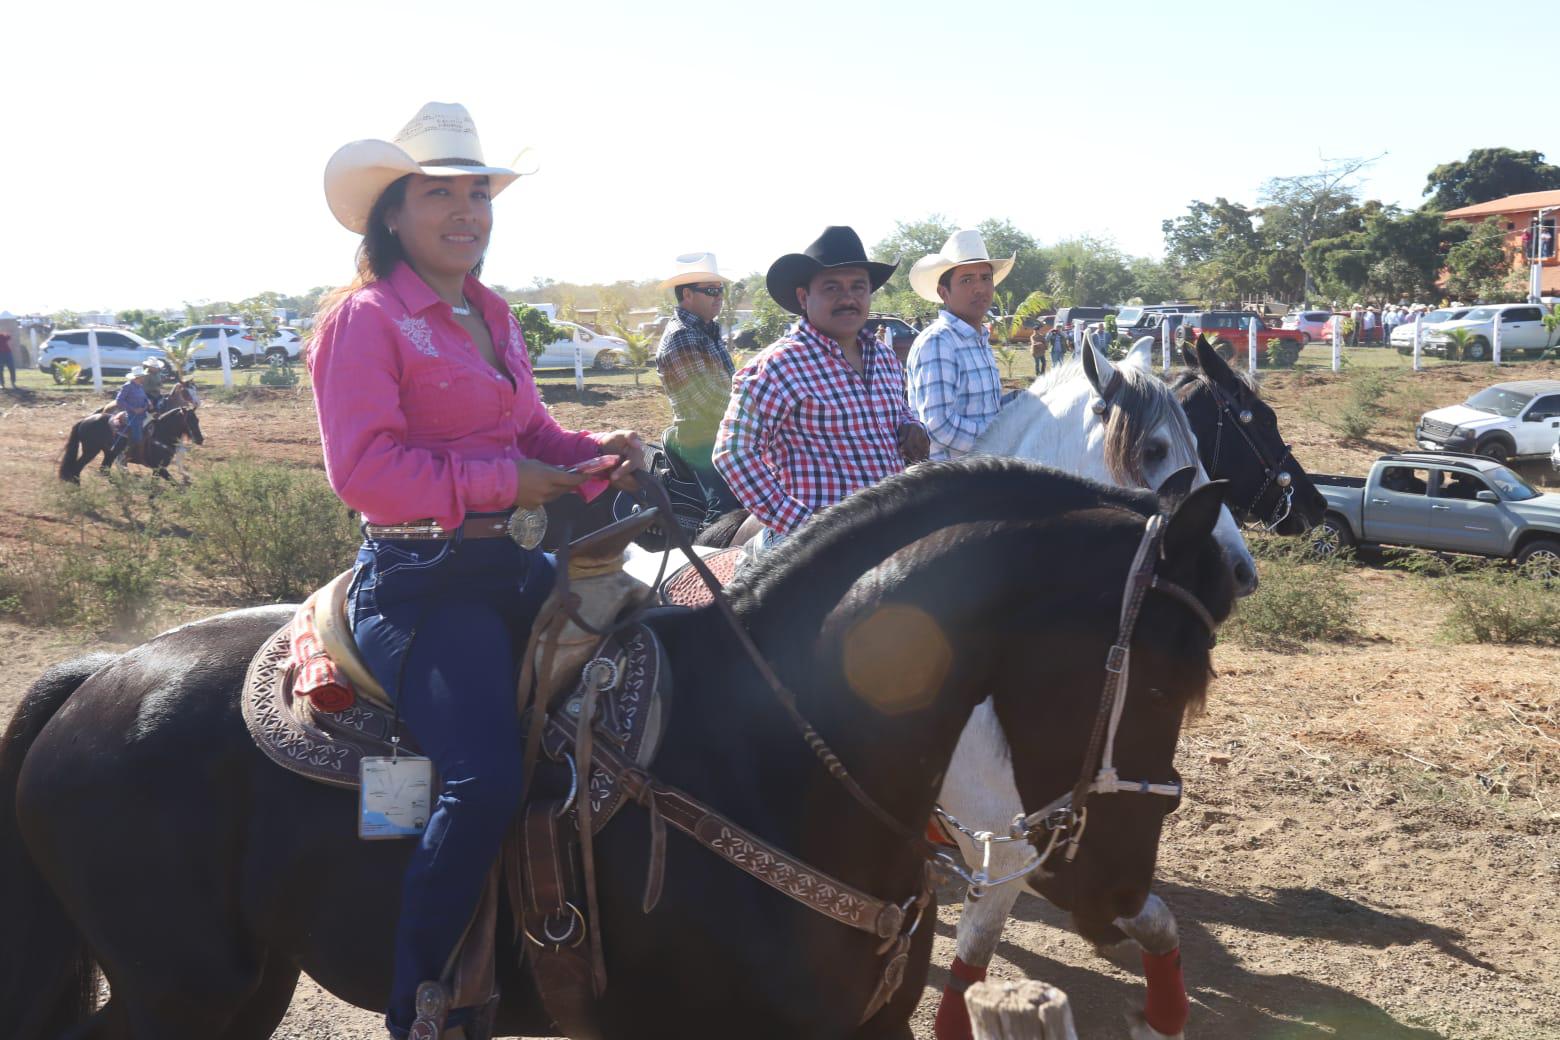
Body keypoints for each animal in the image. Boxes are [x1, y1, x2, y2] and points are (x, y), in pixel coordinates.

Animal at [6, 461, 1235, 1040]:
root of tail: (101, 672)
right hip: (182, 985)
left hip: (245, 980)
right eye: (1163, 675)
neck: (774, 759)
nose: (1121, 889)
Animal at [58, 402, 205, 483]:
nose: (200, 439)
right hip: (91, 451)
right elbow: (174, 483)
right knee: (77, 468)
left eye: (197, 420)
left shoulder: (158, 469)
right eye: (189, 420)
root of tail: (84, 420)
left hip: (109, 453)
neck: (160, 433)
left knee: (104, 469)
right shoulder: (159, 468)